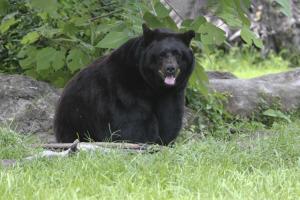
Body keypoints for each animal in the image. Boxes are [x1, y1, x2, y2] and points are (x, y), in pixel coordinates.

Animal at [53, 23, 195, 145]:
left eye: (178, 54)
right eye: (161, 54)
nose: (170, 68)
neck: (153, 86)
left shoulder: (173, 93)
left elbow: (170, 118)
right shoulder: (124, 88)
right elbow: (133, 122)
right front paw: (144, 140)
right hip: (76, 117)